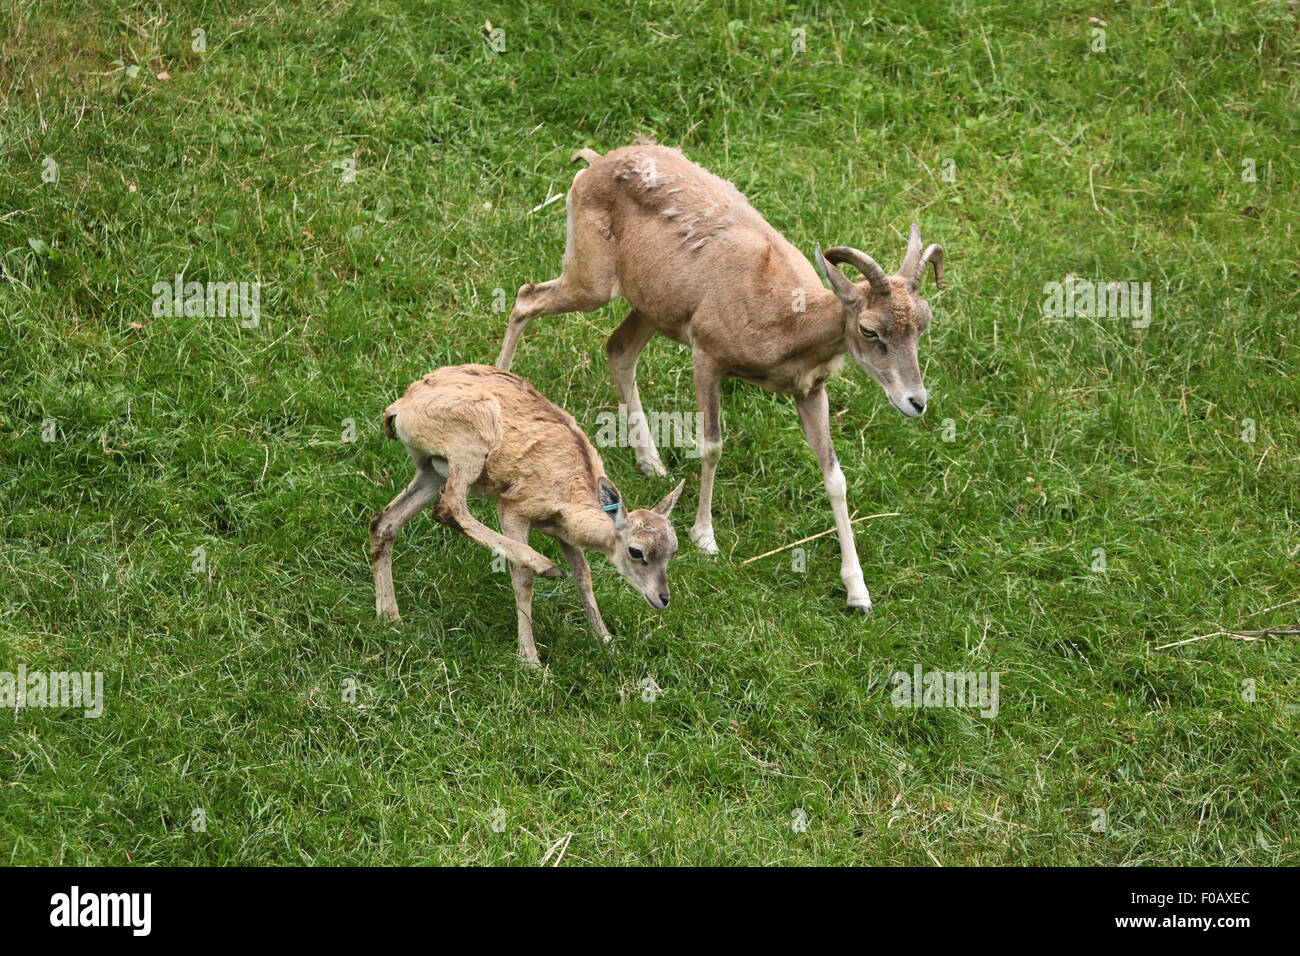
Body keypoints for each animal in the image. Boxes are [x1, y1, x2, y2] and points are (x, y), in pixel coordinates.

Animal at [371, 361, 686, 665]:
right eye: (636, 551)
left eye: (673, 550)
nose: (663, 598)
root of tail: (399, 408)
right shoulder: (514, 510)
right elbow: (523, 579)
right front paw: (530, 660)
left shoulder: (564, 534)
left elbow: (583, 576)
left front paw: (608, 643)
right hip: (469, 447)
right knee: (450, 507)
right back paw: (545, 565)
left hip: (433, 470)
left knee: (384, 522)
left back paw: (390, 617)